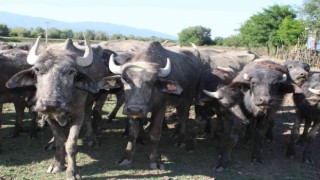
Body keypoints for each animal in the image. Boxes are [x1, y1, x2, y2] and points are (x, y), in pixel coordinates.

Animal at [5, 36, 105, 179]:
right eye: (37, 70)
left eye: (71, 71)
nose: (50, 103)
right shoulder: (49, 116)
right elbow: (59, 140)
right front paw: (57, 164)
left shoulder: (77, 114)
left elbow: (71, 143)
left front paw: (72, 172)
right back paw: (51, 143)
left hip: (89, 103)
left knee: (87, 116)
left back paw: (92, 139)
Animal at [102, 41, 208, 169]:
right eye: (125, 79)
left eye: (152, 81)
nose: (135, 109)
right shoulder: (131, 110)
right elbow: (132, 134)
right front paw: (126, 157)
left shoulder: (160, 108)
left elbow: (155, 133)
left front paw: (155, 160)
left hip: (188, 97)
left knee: (184, 116)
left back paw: (180, 139)